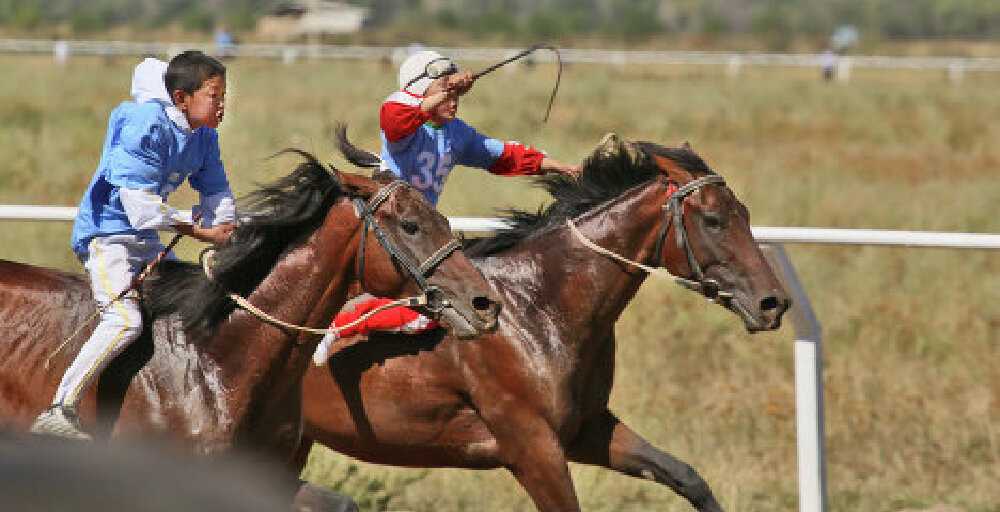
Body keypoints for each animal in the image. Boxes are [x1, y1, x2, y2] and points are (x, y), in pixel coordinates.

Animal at [292, 134, 792, 510]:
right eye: (713, 219)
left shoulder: (585, 429)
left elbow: (685, 475)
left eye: (744, 214)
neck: (537, 308)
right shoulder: (532, 446)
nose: (775, 302)